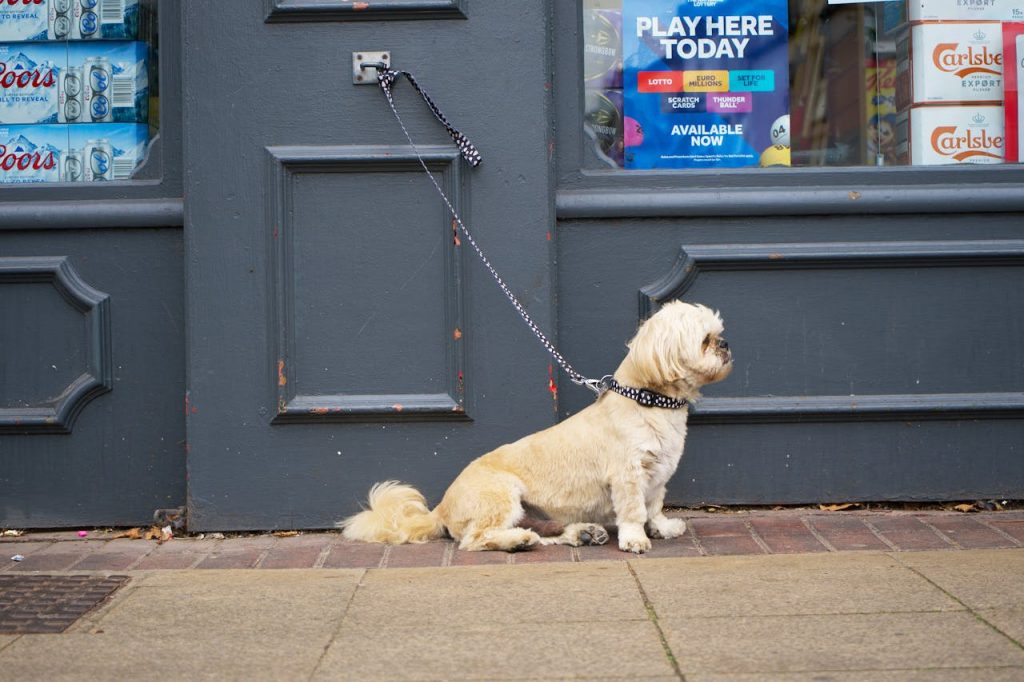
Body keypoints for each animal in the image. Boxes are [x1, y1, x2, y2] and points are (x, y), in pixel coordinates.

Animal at [339, 301, 733, 548]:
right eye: (704, 341)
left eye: (718, 333)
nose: (726, 344)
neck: (648, 400)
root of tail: (441, 509)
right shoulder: (629, 475)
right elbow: (635, 511)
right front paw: (636, 539)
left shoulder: (657, 477)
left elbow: (654, 507)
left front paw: (663, 528)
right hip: (503, 496)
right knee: (476, 540)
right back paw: (518, 542)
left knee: (542, 532)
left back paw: (579, 535)